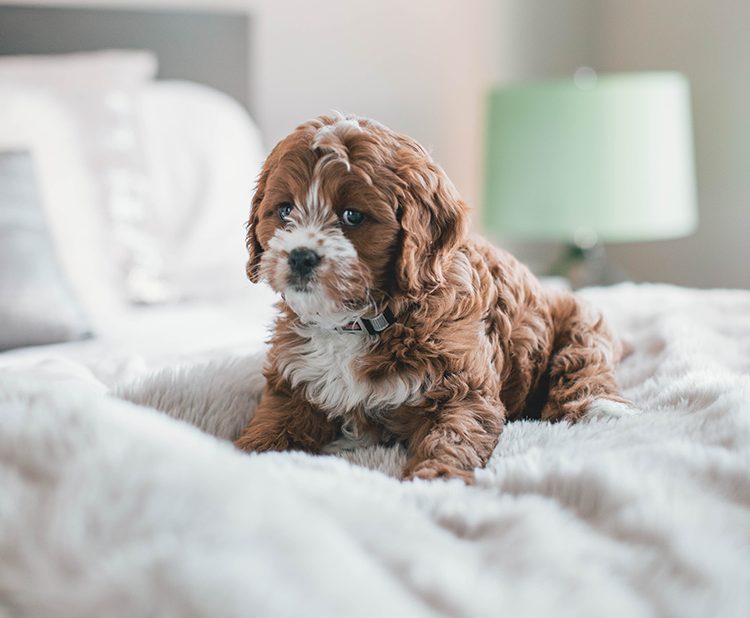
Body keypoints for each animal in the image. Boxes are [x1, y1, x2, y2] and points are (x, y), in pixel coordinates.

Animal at [235, 115, 628, 482]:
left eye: (352, 216)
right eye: (285, 210)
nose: (300, 257)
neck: (359, 321)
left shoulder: (462, 386)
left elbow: (452, 436)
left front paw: (434, 479)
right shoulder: (293, 384)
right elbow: (273, 425)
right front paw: (240, 456)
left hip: (580, 320)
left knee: (584, 362)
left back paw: (603, 410)